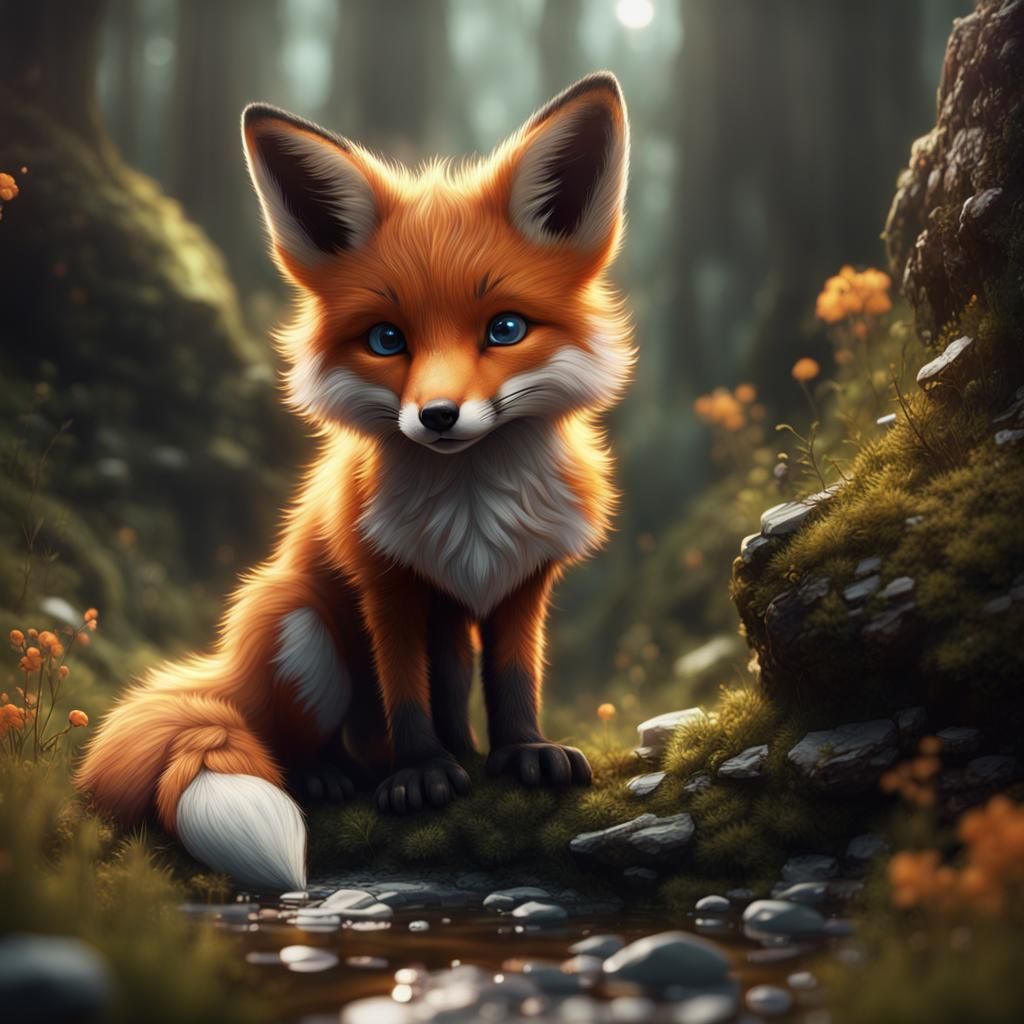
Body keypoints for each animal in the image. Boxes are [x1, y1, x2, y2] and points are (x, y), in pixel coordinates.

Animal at [75, 72, 634, 893]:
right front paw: (424, 773)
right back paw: (333, 774)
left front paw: (518, 753)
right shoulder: (386, 582)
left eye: (504, 329)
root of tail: (225, 671)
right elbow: (406, 690)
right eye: (386, 340)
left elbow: (512, 678)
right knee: (295, 739)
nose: (437, 416)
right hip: (298, 625)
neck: (471, 513)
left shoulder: (520, 580)